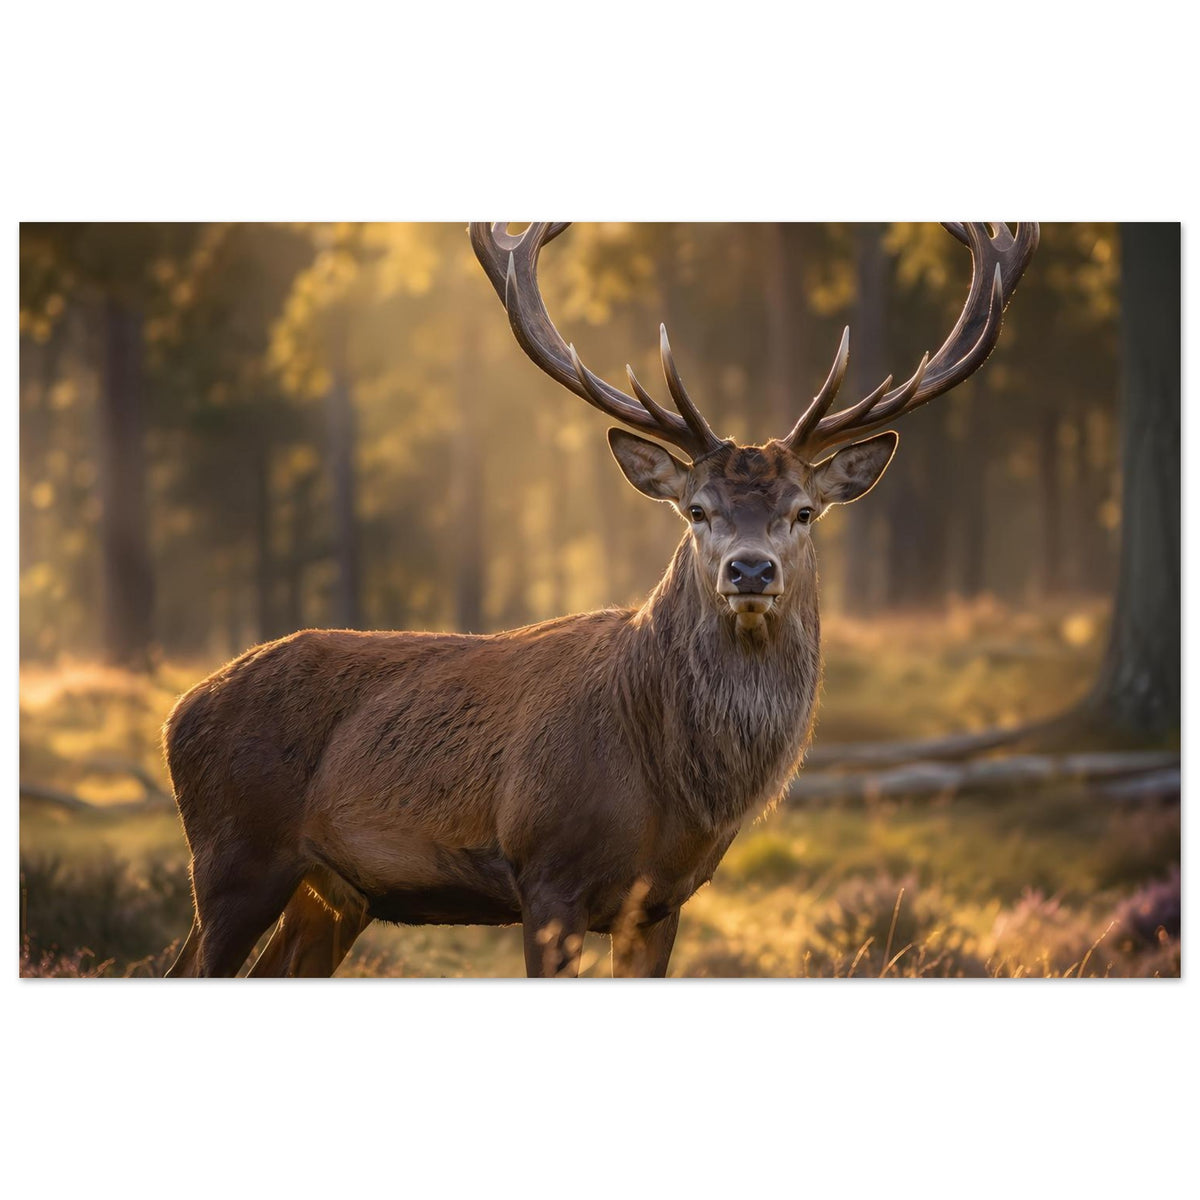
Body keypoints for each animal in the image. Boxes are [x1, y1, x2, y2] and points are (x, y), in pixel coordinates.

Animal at [163, 221, 1038, 978]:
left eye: (802, 511)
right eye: (697, 510)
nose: (750, 572)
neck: (669, 789)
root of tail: (180, 710)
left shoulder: (663, 902)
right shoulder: (546, 873)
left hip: (335, 891)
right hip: (233, 855)